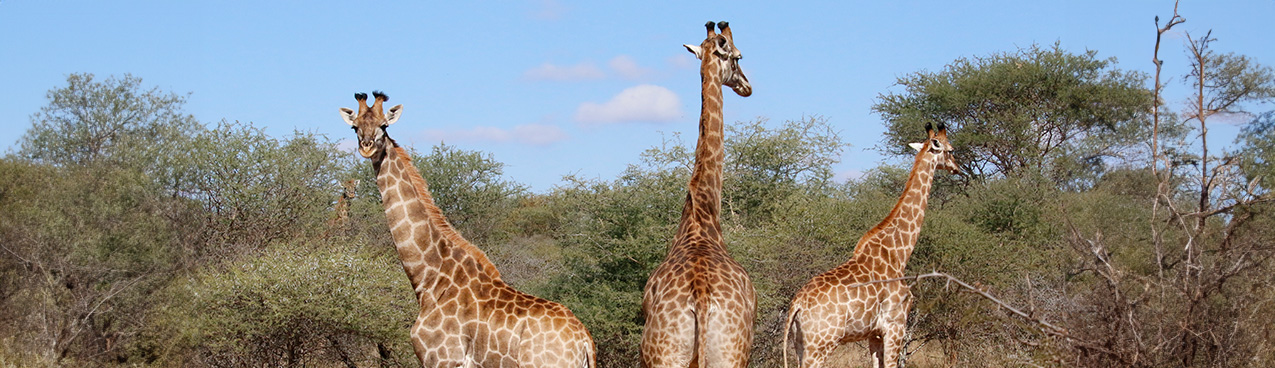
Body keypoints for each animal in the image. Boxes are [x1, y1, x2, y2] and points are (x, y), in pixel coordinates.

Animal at [339, 91, 596, 366]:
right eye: (355, 127)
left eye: (384, 125)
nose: (366, 147)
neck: (430, 279)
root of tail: (584, 340)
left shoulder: (441, 358)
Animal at [642, 20, 749, 366]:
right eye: (739, 56)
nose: (747, 86)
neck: (701, 213)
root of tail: (701, 300)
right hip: (733, 353)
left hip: (666, 356)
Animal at [780, 121, 958, 364]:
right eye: (950, 150)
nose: (957, 168)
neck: (898, 253)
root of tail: (796, 305)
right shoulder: (895, 325)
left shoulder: (874, 334)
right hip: (821, 345)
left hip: (800, 345)